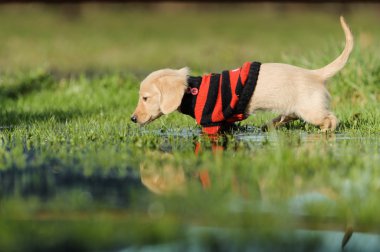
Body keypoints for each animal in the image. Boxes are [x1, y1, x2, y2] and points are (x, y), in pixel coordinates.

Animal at [131, 16, 354, 133]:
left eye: (145, 98)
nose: (132, 119)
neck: (193, 91)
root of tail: (315, 74)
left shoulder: (210, 123)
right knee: (288, 117)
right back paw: (272, 124)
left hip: (311, 109)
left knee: (331, 119)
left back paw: (325, 131)